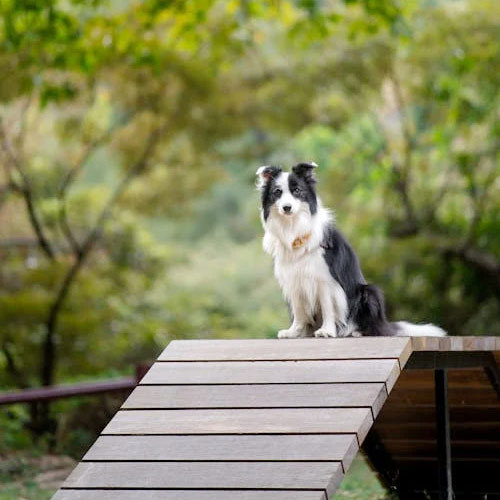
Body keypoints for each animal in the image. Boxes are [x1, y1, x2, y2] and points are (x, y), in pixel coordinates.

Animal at [258, 162, 446, 338]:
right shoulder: (293, 281)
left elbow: (327, 307)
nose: (286, 207)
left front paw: (326, 331)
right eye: (277, 192)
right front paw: (293, 332)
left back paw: (357, 332)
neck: (293, 227)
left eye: (297, 190)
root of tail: (385, 323)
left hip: (369, 292)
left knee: (375, 327)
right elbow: (299, 311)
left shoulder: (324, 280)